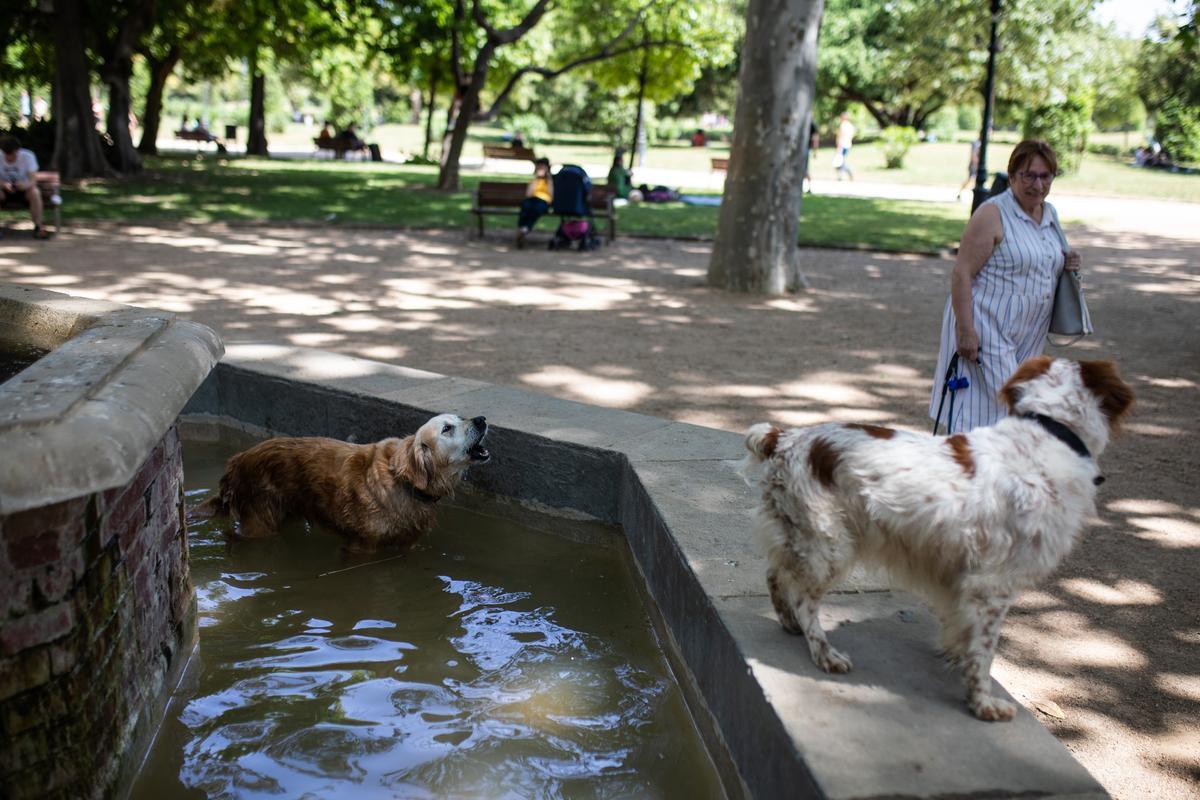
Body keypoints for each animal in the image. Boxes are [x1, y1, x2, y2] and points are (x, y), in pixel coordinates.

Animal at [199, 412, 489, 551]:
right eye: (447, 429)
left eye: (460, 418)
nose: (481, 420)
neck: (404, 480)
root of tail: (235, 461)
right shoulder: (361, 546)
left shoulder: (406, 544)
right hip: (259, 523)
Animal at [739, 359, 1132, 724]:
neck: (1051, 429)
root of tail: (785, 438)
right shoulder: (994, 585)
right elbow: (984, 651)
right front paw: (982, 703)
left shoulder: (961, 577)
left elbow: (961, 630)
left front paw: (956, 660)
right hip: (831, 545)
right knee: (804, 599)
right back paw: (824, 654)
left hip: (800, 535)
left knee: (775, 574)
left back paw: (789, 623)